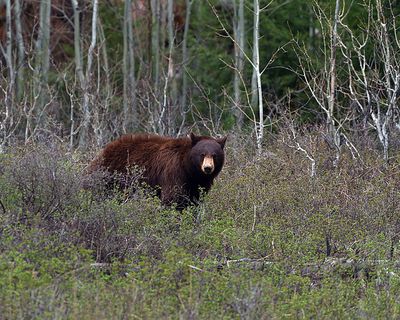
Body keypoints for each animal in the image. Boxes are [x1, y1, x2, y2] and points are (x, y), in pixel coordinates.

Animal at [88, 132, 228, 210]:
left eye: (214, 155)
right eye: (202, 154)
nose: (208, 168)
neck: (188, 169)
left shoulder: (196, 183)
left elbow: (194, 200)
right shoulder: (173, 172)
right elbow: (172, 198)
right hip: (111, 177)